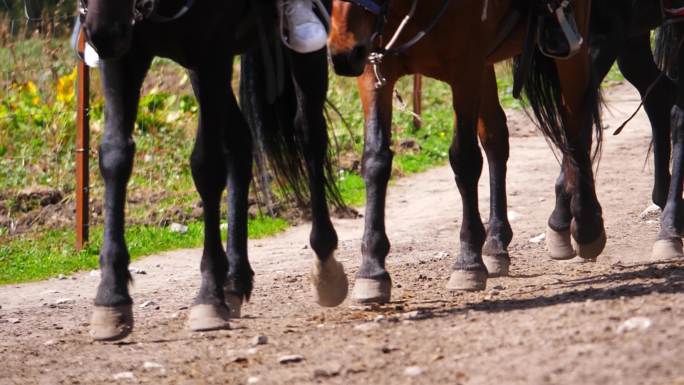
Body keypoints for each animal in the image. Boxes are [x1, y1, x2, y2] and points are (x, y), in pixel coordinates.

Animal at [81, 0, 350, 340]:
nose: (103, 32)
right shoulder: (126, 56)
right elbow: (115, 156)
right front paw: (111, 295)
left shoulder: (209, 53)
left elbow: (206, 167)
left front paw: (208, 296)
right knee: (240, 142)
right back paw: (235, 281)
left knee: (309, 134)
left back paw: (325, 264)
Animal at [330, 0, 604, 304]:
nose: (344, 54)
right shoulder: (374, 70)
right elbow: (376, 160)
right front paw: (372, 268)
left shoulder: (465, 68)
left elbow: (465, 159)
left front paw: (468, 261)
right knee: (497, 138)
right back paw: (496, 243)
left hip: (569, 45)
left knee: (575, 122)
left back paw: (586, 224)